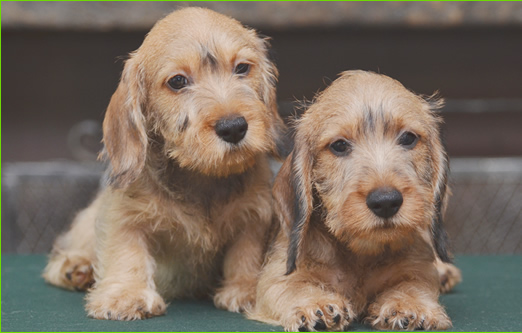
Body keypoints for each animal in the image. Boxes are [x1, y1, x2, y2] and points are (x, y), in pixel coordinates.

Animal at [42, 7, 284, 320]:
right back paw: (74, 267)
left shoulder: (255, 214)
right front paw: (126, 295)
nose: (233, 128)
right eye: (178, 81)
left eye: (242, 68)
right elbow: (126, 249)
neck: (201, 176)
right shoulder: (124, 213)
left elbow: (246, 251)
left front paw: (246, 290)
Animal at [251, 70, 456, 330]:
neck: (360, 255)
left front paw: (410, 305)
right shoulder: (274, 278)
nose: (386, 202)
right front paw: (315, 304)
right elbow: (292, 288)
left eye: (408, 138)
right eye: (339, 145)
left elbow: (414, 283)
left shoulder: (416, 267)